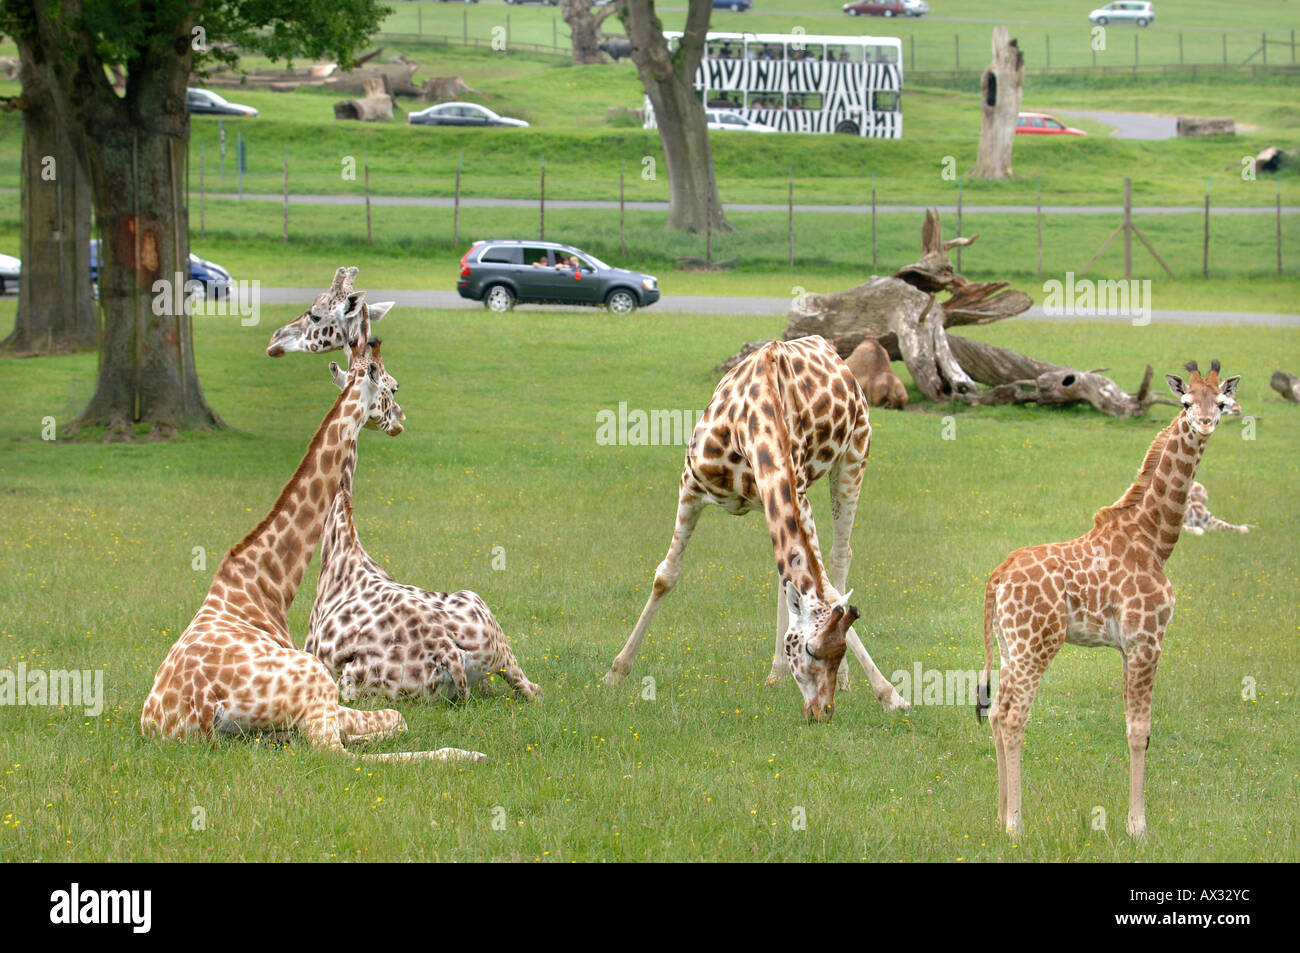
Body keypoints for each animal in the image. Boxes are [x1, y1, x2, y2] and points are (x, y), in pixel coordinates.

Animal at [305, 343, 543, 707]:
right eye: (392, 387)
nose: (399, 419)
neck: (340, 543)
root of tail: (448, 654)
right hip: (493, 637)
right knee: (530, 689)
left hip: (354, 683)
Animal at [603, 338, 909, 717]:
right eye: (809, 651)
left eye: (837, 653)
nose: (822, 710)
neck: (749, 428)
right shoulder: (691, 485)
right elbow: (666, 576)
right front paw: (616, 672)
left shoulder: (796, 492)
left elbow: (825, 587)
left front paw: (890, 694)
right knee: (792, 576)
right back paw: (775, 675)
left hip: (854, 455)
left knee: (840, 555)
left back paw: (841, 680)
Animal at [977, 361, 1242, 837]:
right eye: (1185, 402)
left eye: (1221, 402)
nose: (1204, 423)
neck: (1155, 541)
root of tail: (998, 577)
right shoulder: (1147, 640)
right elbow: (1140, 731)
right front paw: (1138, 827)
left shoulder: (1126, 647)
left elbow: (1132, 727)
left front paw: (1133, 822)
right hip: (1035, 645)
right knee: (1013, 717)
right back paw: (1016, 826)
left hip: (1008, 646)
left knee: (995, 712)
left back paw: (999, 815)